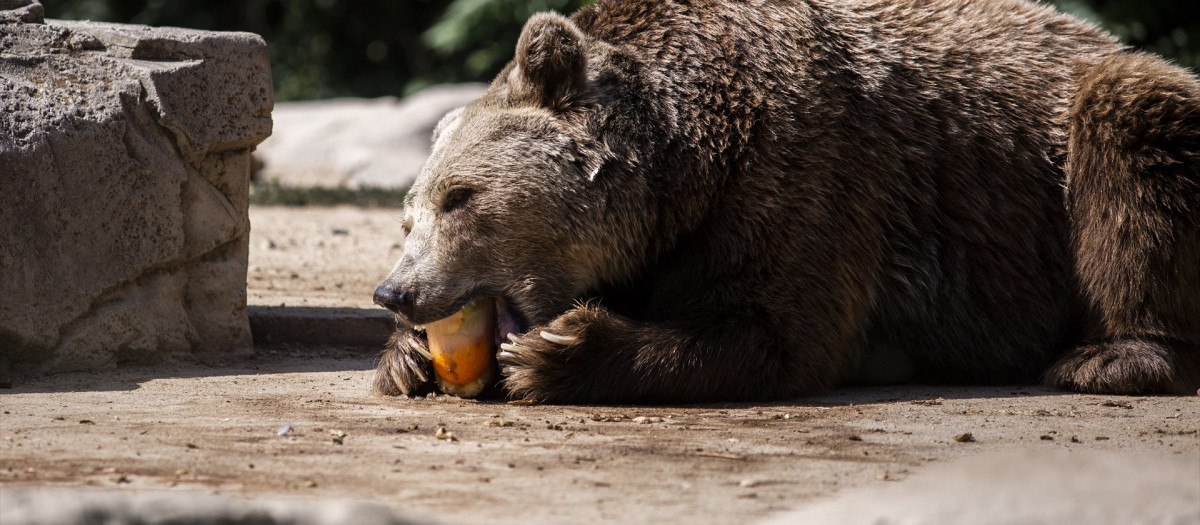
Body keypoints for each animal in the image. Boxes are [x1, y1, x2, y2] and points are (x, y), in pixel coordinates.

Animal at [369, 0, 1195, 405]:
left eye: (461, 196)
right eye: (409, 214)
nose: (395, 291)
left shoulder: (798, 170)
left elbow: (776, 331)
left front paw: (561, 349)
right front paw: (406, 358)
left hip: (1084, 137)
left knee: (1132, 145)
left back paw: (1108, 355)